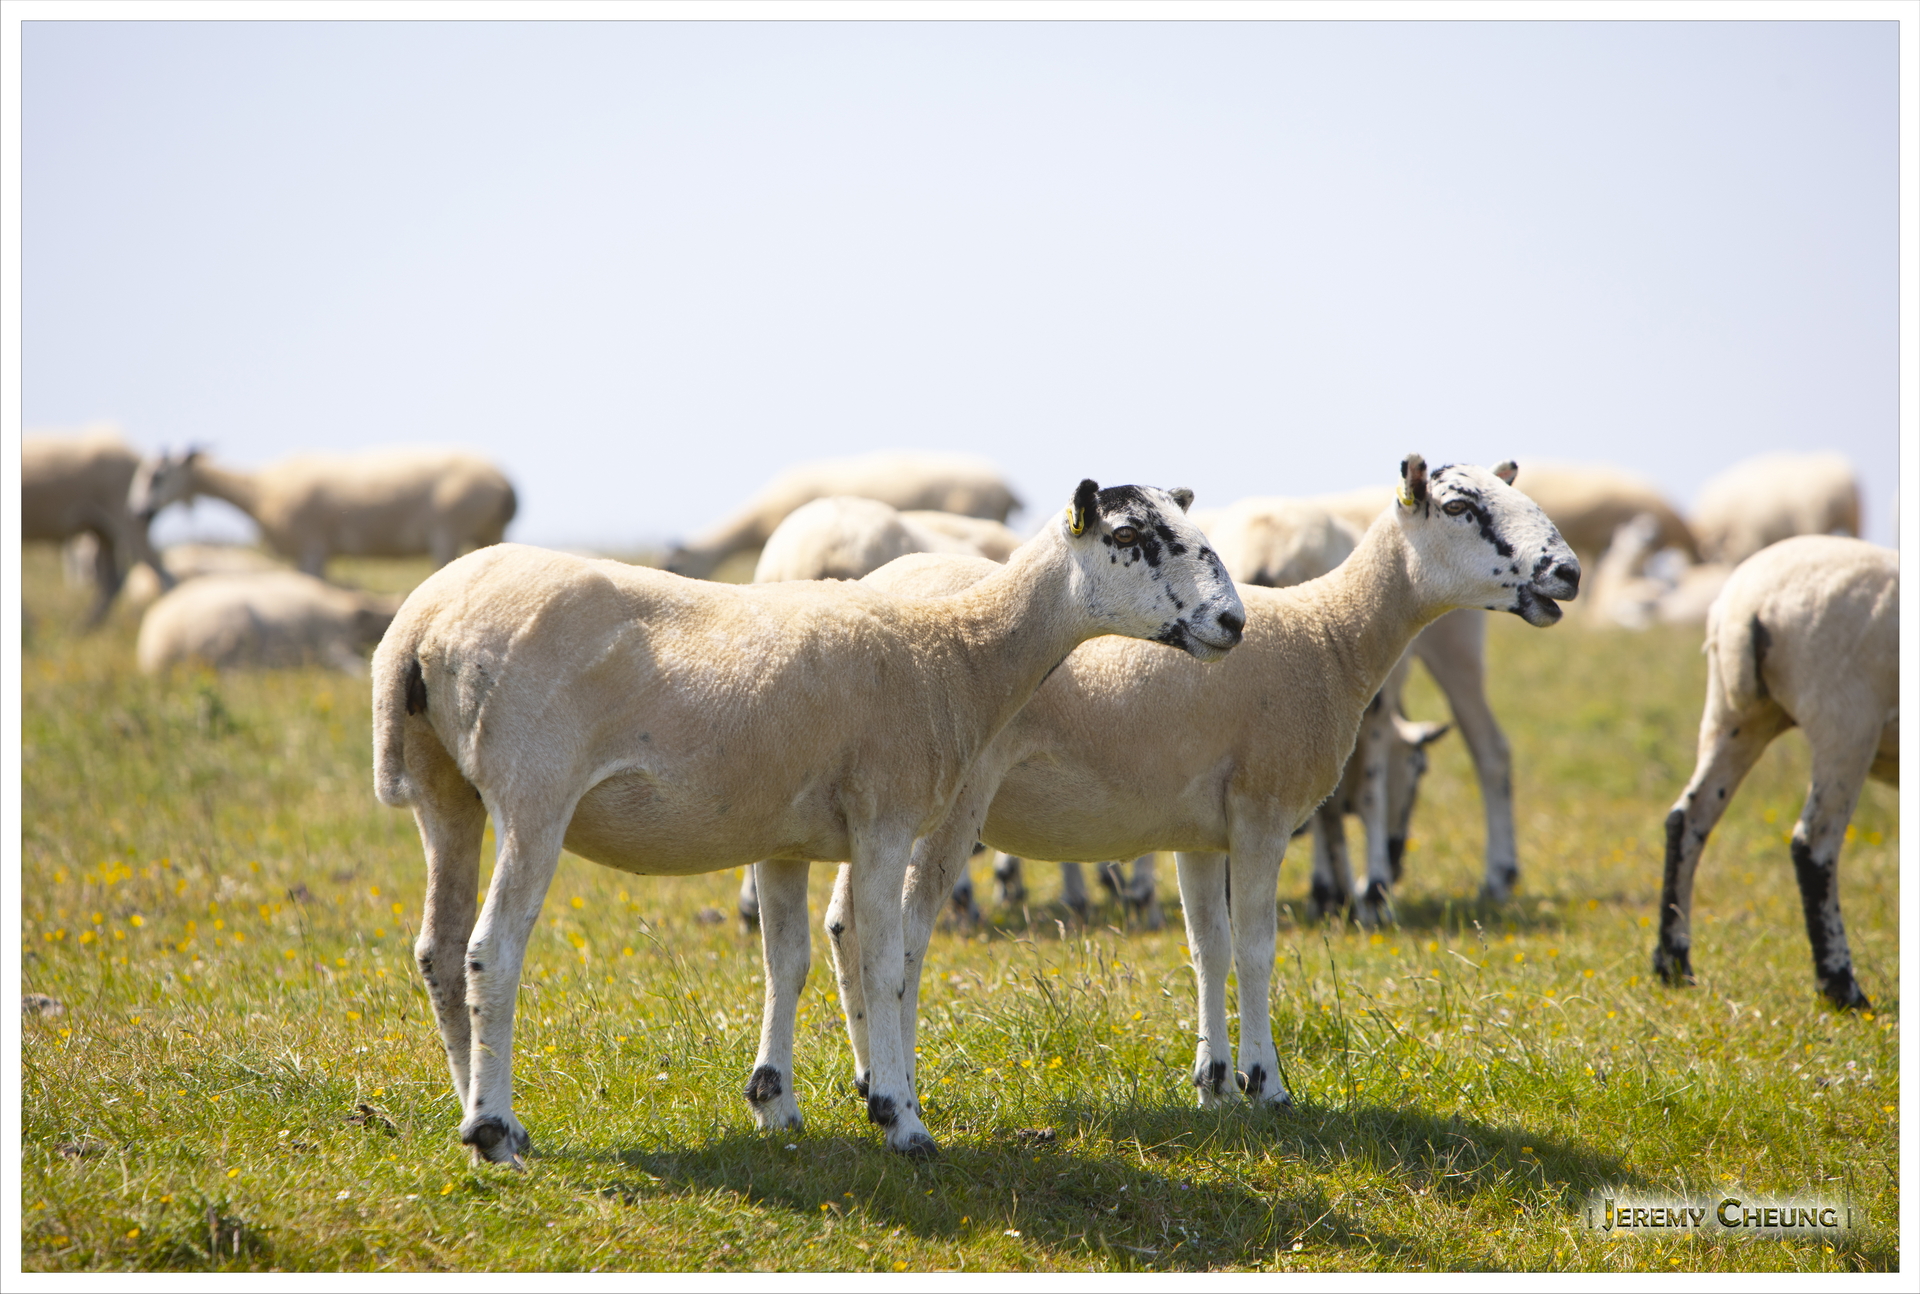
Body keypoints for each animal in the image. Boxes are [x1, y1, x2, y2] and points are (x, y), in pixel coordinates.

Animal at [129, 446, 517, 578]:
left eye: (157, 474)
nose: (138, 512)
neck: (259, 490)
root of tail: (504, 481)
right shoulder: (316, 551)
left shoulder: (311, 548)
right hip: (486, 533)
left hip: (446, 534)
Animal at [370, 480, 1243, 1162]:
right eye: (1129, 537)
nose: (1232, 622)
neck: (958, 655)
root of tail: (420, 624)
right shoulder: (886, 821)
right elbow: (885, 965)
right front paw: (900, 1119)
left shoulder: (779, 836)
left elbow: (784, 963)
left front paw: (775, 1103)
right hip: (535, 793)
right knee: (492, 951)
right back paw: (495, 1129)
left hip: (445, 792)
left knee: (440, 949)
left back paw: (473, 1114)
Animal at [791, 456, 1576, 1113]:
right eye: (1460, 505)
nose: (1566, 572)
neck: (1333, 635)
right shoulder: (1262, 810)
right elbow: (1257, 948)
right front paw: (1267, 1084)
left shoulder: (1201, 834)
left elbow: (1209, 949)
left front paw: (1215, 1083)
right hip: (948, 805)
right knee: (906, 937)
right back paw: (899, 1088)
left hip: (880, 813)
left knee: (846, 924)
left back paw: (867, 1075)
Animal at [1652, 535, 1895, 1010]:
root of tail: (1748, 605)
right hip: (1846, 718)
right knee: (1813, 843)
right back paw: (1841, 988)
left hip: (1736, 715)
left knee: (1687, 819)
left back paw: (1673, 964)